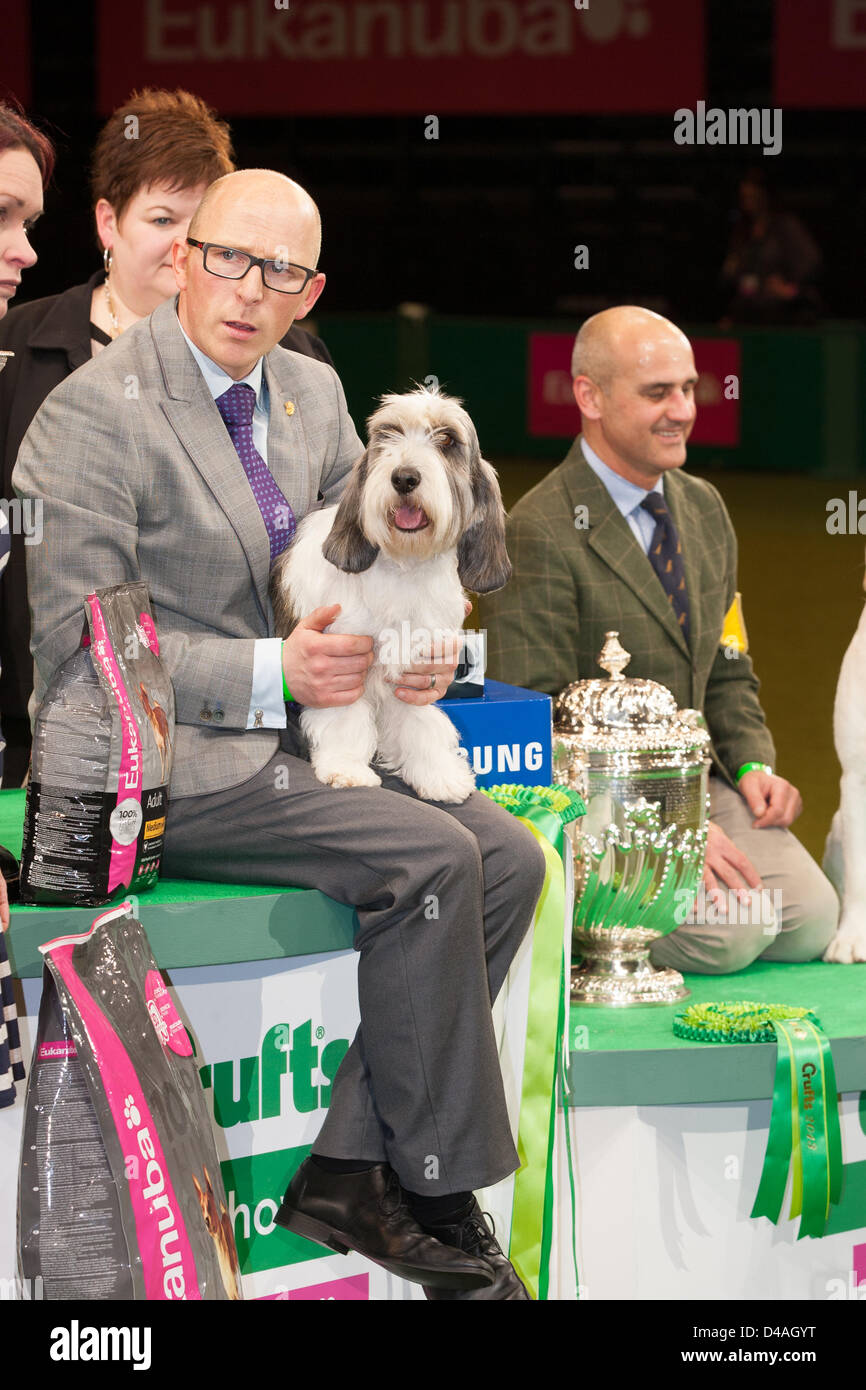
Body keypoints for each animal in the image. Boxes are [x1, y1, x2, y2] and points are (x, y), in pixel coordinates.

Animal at [271, 389, 511, 806]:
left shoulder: (416, 664)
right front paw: (346, 768)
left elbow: (420, 722)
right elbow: (344, 718)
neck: (404, 566)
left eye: (447, 440)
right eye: (388, 434)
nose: (404, 477)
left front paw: (437, 773)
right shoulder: (341, 659)